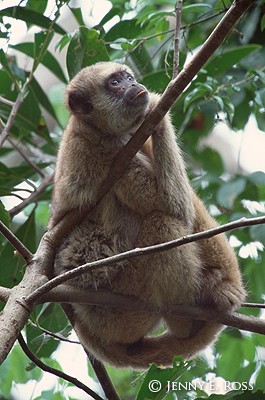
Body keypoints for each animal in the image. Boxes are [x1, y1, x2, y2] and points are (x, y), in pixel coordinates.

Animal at [48, 61, 244, 368]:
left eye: (127, 76)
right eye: (115, 83)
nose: (132, 84)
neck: (91, 127)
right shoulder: (111, 153)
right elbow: (173, 206)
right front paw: (156, 103)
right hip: (121, 306)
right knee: (163, 221)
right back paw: (186, 321)